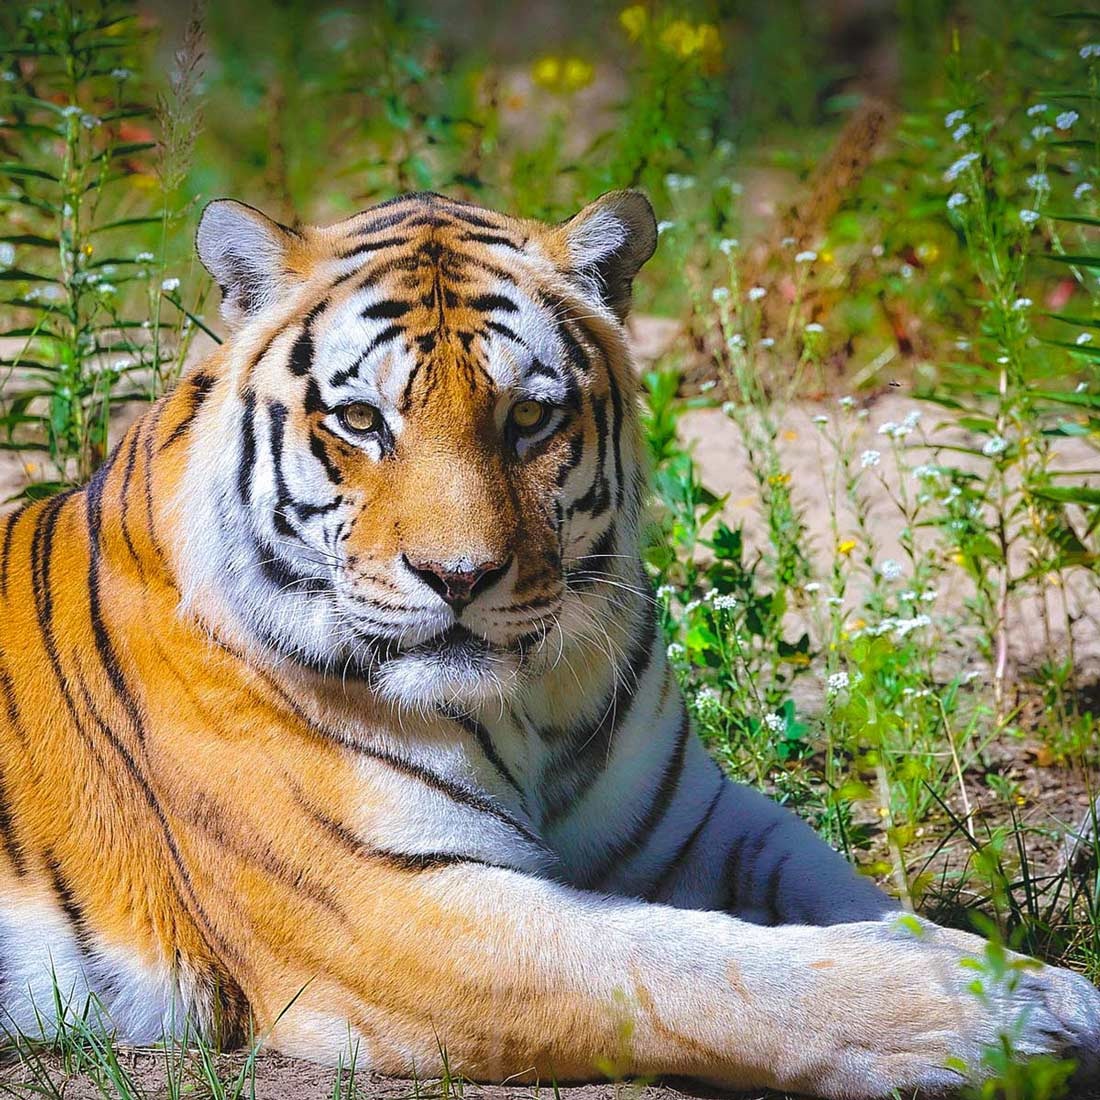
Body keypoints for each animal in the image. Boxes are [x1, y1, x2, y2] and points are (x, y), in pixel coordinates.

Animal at [0, 189, 1097, 1100]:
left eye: (528, 416)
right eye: (359, 419)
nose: (456, 578)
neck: (526, 705)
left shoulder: (701, 823)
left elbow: (845, 892)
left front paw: (1022, 977)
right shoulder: (381, 909)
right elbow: (686, 966)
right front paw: (1002, 1017)